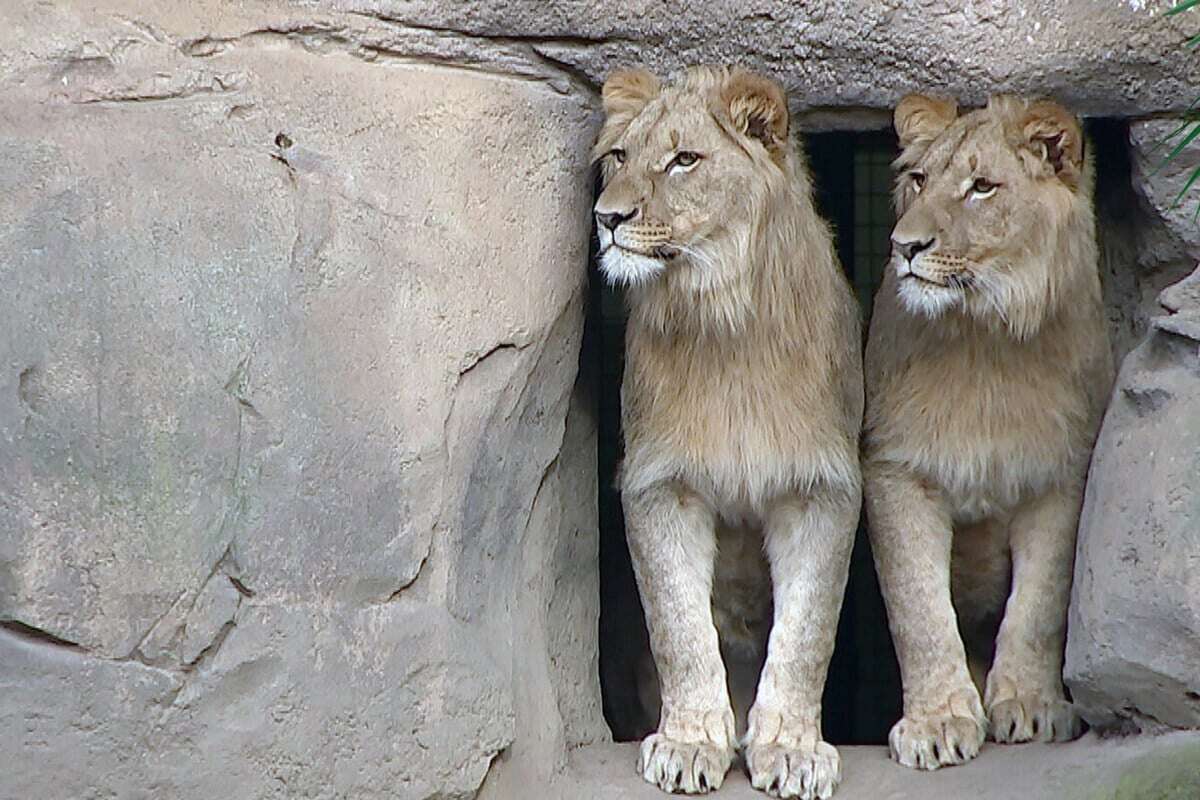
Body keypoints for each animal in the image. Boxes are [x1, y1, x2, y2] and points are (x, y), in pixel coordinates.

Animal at [592, 65, 864, 796]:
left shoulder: (821, 486)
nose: (606, 218)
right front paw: (689, 743)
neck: (723, 319)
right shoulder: (659, 483)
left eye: (684, 160)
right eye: (620, 156)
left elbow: (808, 632)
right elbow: (679, 627)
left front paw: (792, 749)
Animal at [864, 94, 1113, 767]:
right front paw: (938, 722)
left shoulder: (1060, 477)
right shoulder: (895, 470)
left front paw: (1030, 704)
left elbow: (1041, 603)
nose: (904, 245)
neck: (986, 341)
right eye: (919, 179)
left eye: (981, 187)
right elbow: (920, 608)